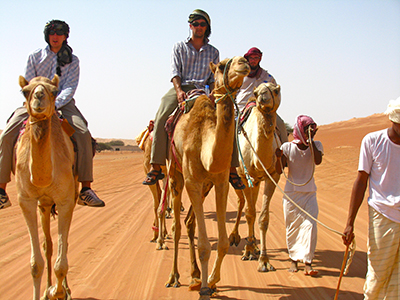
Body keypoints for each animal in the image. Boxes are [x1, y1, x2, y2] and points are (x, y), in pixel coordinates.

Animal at [15, 75, 78, 300]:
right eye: (25, 91)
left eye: (54, 91)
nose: (39, 97)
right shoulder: (25, 200)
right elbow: (35, 264)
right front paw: (45, 292)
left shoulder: (66, 200)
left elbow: (62, 261)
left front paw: (59, 292)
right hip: (43, 205)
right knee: (48, 246)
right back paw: (47, 289)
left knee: (62, 245)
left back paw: (64, 289)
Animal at [166, 56, 250, 300]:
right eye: (222, 65)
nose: (244, 62)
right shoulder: (192, 181)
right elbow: (205, 246)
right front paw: (204, 289)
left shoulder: (220, 182)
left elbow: (222, 243)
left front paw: (211, 281)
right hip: (176, 175)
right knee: (176, 226)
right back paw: (174, 277)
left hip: (204, 187)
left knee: (189, 222)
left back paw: (195, 274)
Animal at [228, 82, 282, 272]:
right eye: (256, 91)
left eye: (276, 90)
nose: (262, 97)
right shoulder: (244, 176)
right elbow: (250, 213)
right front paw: (249, 250)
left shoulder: (273, 176)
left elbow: (263, 218)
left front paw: (264, 260)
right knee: (242, 202)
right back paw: (235, 238)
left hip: (257, 181)